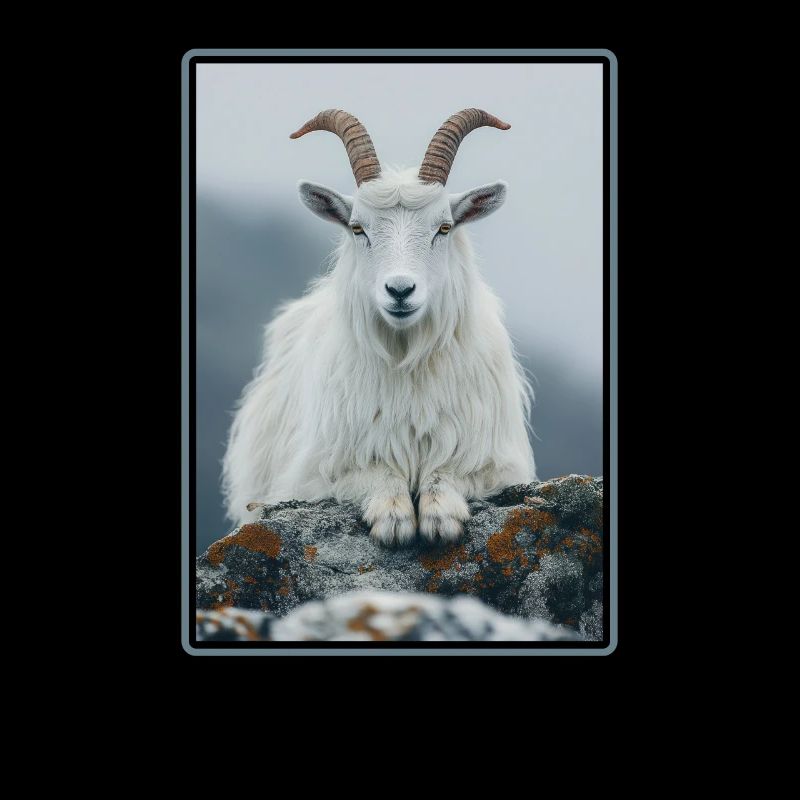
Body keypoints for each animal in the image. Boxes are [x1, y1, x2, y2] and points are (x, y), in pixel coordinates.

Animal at [223, 108, 536, 545]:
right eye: (358, 228)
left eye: (444, 227)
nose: (400, 290)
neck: (406, 362)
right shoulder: (317, 470)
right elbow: (376, 472)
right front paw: (393, 516)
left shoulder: (496, 462)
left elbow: (449, 472)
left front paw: (441, 514)